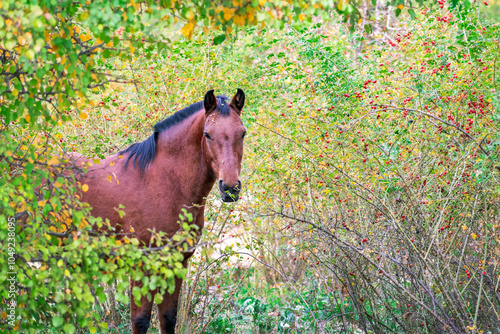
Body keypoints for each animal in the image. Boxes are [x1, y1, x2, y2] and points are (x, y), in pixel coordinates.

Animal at [72, 89, 246, 334]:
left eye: (242, 133)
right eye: (208, 134)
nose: (230, 188)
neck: (163, 182)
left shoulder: (177, 262)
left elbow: (168, 318)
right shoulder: (142, 265)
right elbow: (141, 320)